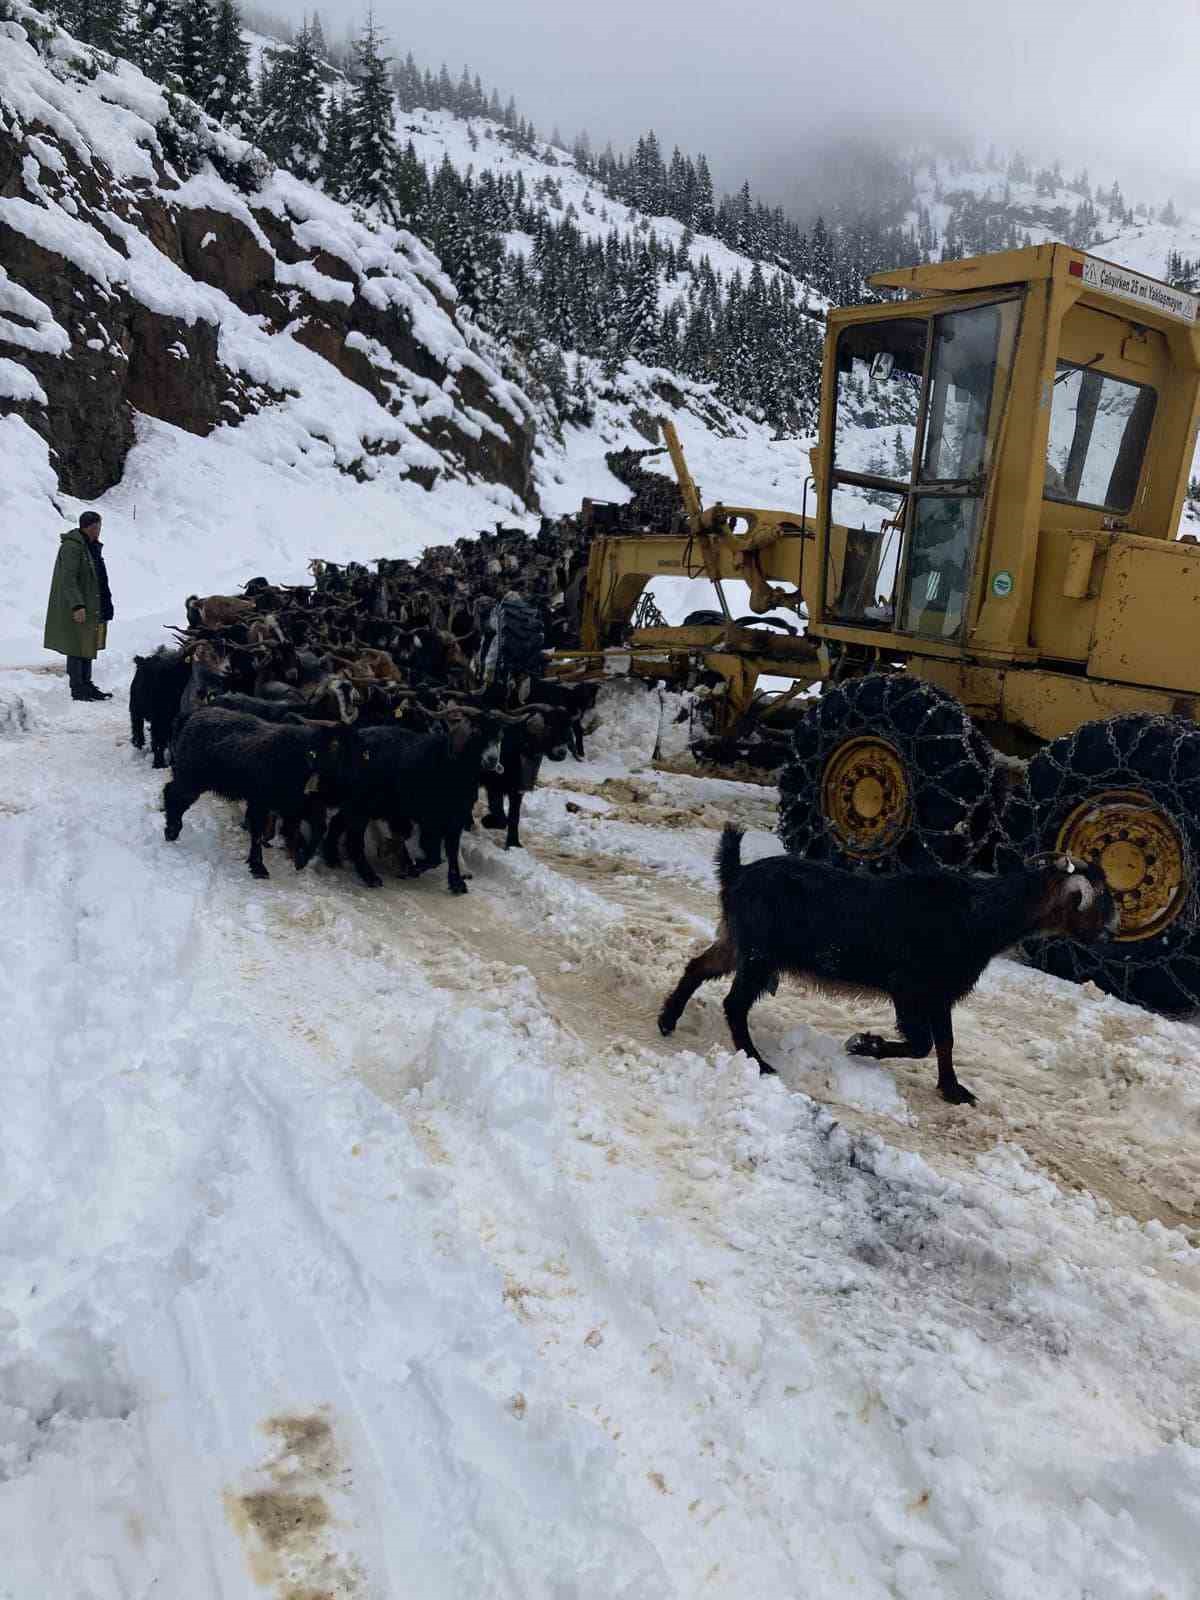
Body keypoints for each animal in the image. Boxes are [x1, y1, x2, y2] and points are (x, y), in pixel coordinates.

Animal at [167, 710, 360, 883]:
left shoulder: (298, 805)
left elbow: (317, 829)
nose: (354, 788)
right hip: (191, 777)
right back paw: (171, 831)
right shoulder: (261, 802)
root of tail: (190, 716)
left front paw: (300, 860)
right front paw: (259, 867)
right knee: (173, 794)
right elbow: (258, 832)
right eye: (339, 750)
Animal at [659, 832, 1120, 1107]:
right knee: (735, 1003)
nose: (1111, 933)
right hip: (759, 956)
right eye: (1099, 898)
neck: (980, 914)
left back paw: (668, 1019)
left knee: (698, 966)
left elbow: (945, 1042)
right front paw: (864, 1044)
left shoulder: (940, 994)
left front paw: (953, 1090)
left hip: (738, 942)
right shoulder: (910, 988)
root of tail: (736, 873)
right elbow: (921, 1044)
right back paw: (756, 1060)